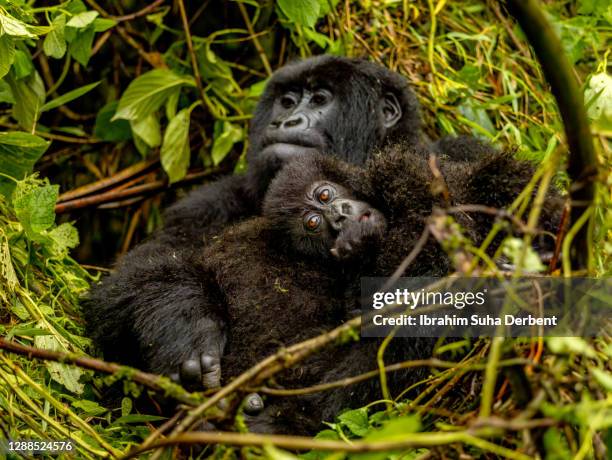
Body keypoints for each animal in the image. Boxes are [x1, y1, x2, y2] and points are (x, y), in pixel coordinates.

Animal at [85, 54, 426, 384]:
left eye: (319, 99)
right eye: (287, 101)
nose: (285, 120)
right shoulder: (207, 205)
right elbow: (124, 283)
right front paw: (184, 324)